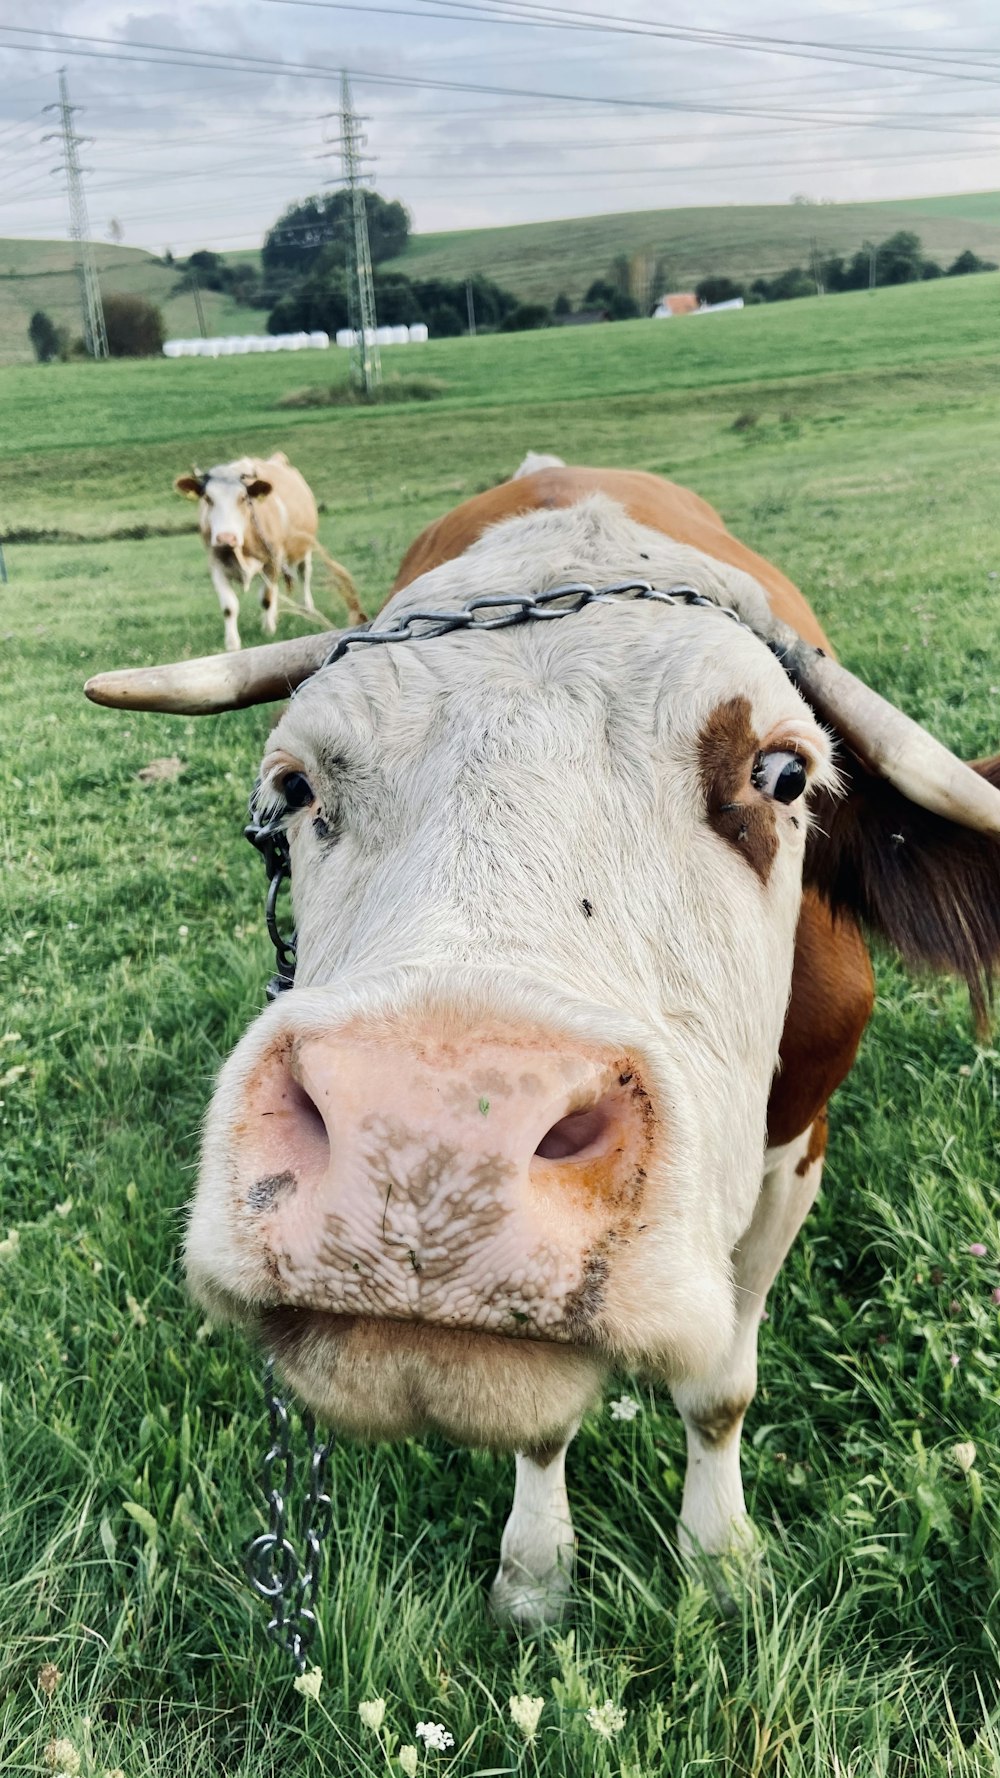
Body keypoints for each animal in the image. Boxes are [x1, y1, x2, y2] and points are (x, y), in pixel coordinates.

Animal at [174, 451, 361, 654]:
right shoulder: (216, 564)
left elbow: (266, 598)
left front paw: (268, 631)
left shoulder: (273, 559)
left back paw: (307, 608)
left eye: (243, 498)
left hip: (305, 547)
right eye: (208, 498)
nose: (225, 538)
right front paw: (232, 644)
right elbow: (229, 606)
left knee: (304, 574)